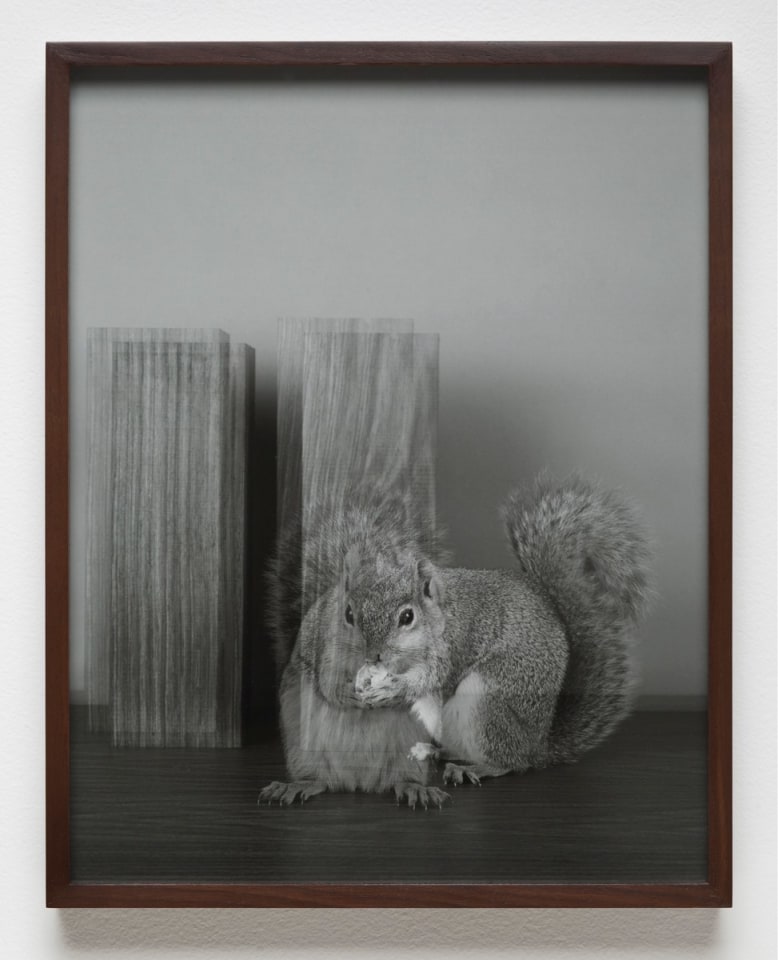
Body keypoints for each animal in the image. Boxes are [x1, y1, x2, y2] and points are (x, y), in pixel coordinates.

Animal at [259, 472, 651, 803]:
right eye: (348, 613)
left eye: (407, 616)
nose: (374, 656)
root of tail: (537, 744)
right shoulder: (318, 636)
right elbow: (321, 675)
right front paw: (344, 691)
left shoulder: (449, 647)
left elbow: (429, 680)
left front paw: (394, 690)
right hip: (302, 738)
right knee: (323, 778)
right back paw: (300, 784)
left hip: (486, 704)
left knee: (508, 762)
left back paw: (451, 774)